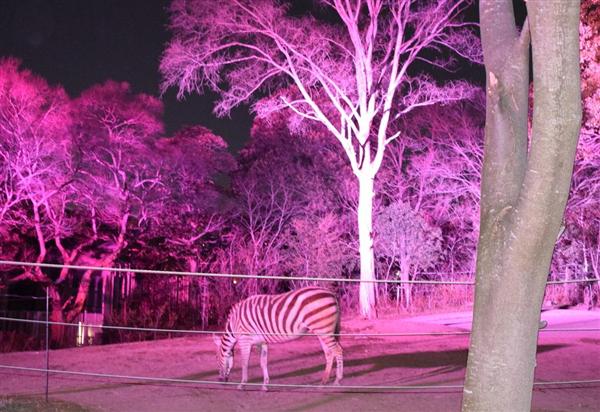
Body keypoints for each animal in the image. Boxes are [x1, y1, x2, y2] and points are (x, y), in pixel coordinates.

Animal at [212, 284, 342, 392]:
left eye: (217, 358)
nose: (220, 381)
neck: (234, 325)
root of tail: (331, 294)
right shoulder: (261, 342)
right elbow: (263, 362)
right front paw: (265, 385)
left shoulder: (245, 340)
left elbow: (244, 363)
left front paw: (242, 384)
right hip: (323, 331)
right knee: (329, 353)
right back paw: (323, 382)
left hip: (323, 329)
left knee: (338, 350)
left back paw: (337, 380)